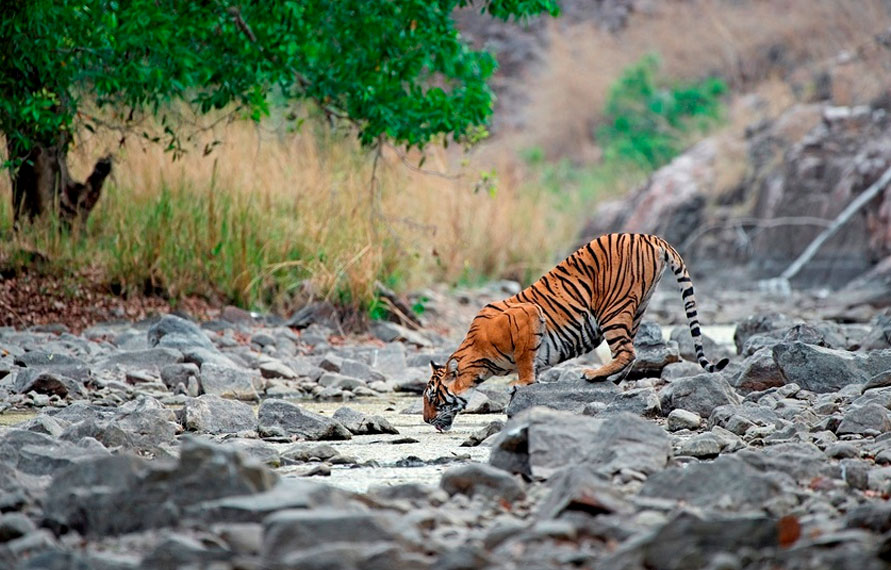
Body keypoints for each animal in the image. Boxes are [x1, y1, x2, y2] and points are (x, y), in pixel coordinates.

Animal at [422, 231, 728, 430]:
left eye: (433, 398)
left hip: (612, 307)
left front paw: (521, 383)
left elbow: (524, 359)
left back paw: (594, 375)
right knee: (631, 352)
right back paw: (611, 379)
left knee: (627, 351)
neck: (480, 361)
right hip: (637, 306)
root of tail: (650, 237)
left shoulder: (528, 315)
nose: (425, 419)